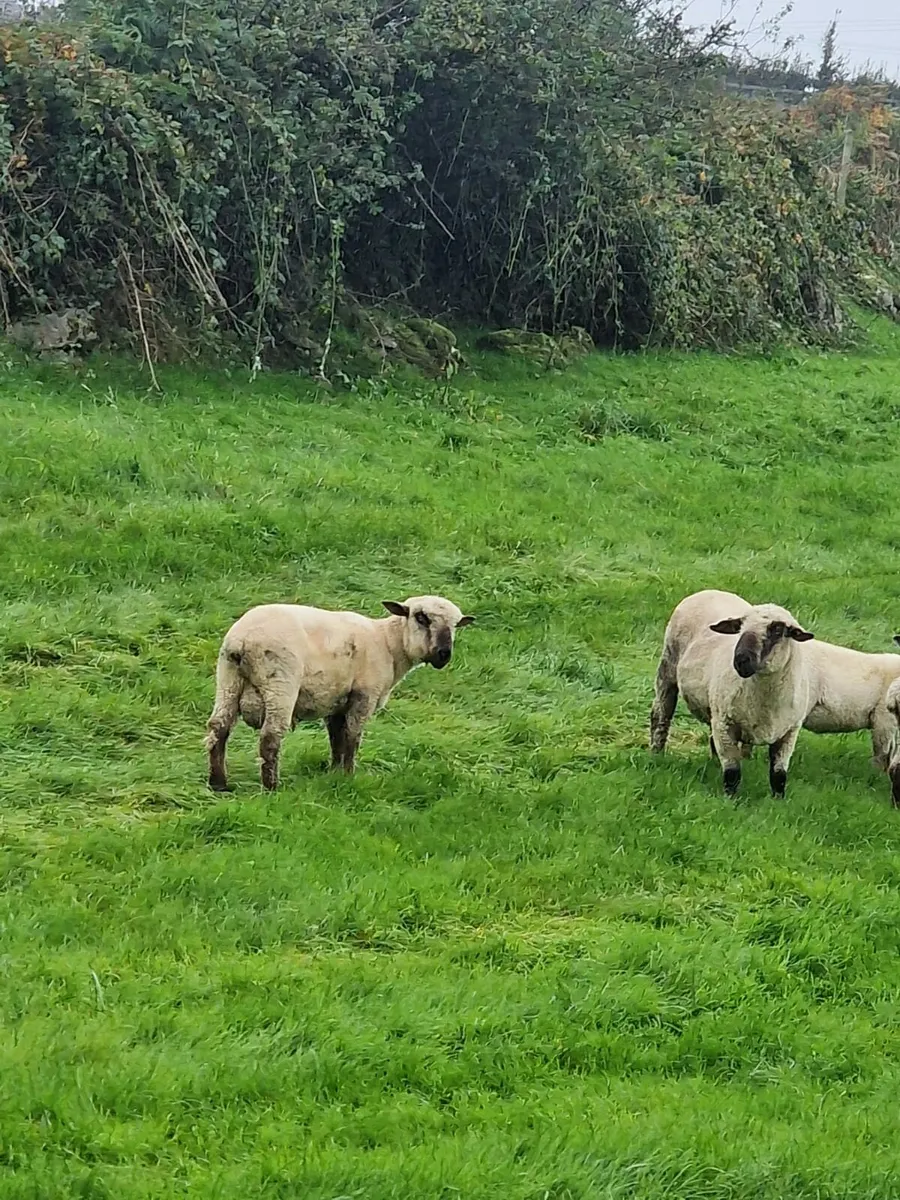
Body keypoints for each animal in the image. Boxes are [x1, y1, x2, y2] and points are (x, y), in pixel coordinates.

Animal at [205, 595, 475, 791]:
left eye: (455, 626)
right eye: (421, 618)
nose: (444, 655)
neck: (388, 643)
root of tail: (242, 641)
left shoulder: (336, 701)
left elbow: (336, 737)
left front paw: (334, 773)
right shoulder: (364, 695)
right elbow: (353, 737)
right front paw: (348, 774)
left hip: (227, 680)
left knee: (219, 727)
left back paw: (219, 784)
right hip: (280, 683)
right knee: (270, 738)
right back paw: (272, 787)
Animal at [649, 589, 814, 797]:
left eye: (777, 630)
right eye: (740, 627)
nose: (741, 659)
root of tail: (709, 590)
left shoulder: (789, 732)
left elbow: (778, 775)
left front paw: (778, 799)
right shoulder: (725, 725)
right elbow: (732, 773)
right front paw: (731, 799)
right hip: (668, 666)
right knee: (661, 714)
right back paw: (656, 754)